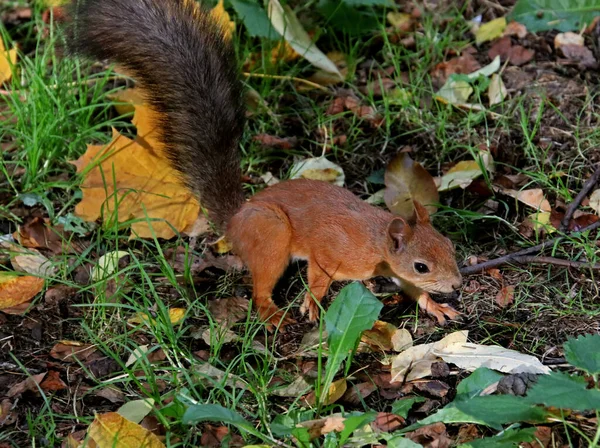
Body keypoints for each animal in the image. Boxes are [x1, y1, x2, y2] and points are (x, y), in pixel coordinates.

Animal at [65, 0, 462, 328]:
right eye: (422, 265)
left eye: (450, 246)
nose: (457, 284)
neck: (378, 242)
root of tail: (235, 222)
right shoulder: (332, 249)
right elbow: (319, 274)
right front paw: (313, 302)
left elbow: (412, 289)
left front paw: (434, 304)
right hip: (272, 237)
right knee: (260, 287)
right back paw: (271, 312)